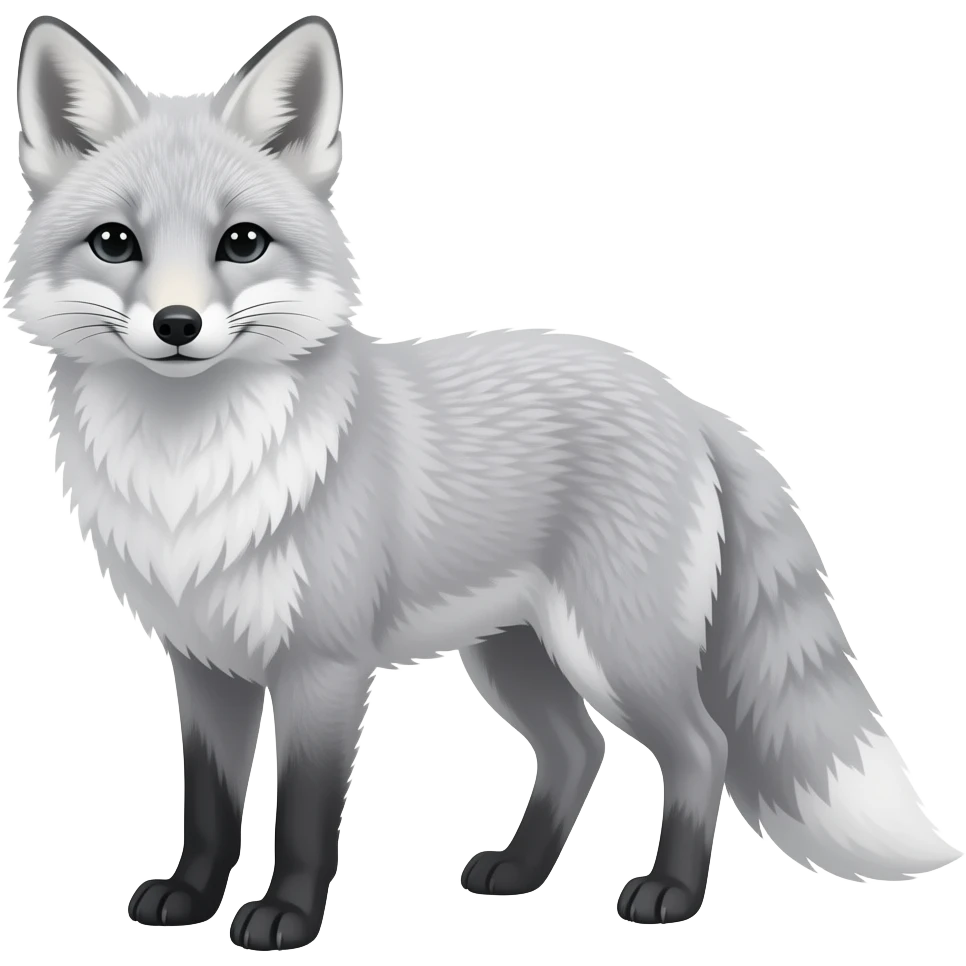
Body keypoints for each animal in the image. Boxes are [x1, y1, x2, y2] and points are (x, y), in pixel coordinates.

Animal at [7, 11, 962, 951]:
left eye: (241, 243)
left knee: (702, 748)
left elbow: (306, 814)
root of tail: (684, 398)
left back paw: (670, 892)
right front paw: (191, 895)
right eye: (115, 243)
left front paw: (288, 917)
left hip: (617, 651)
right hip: (514, 654)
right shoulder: (205, 663)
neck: (190, 479)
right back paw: (522, 871)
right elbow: (208, 806)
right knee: (579, 751)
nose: (178, 324)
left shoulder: (323, 666)